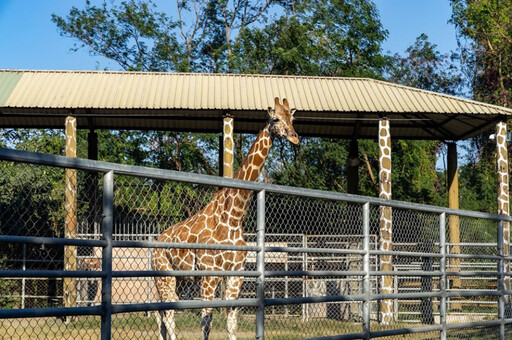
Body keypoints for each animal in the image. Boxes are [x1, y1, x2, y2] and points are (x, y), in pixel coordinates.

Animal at [150, 97, 298, 338]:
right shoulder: (209, 274)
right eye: (275, 118)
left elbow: (231, 321)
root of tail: (156, 242)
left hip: (180, 279)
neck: (234, 216)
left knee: (162, 313)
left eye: (292, 118)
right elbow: (206, 321)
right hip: (164, 274)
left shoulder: (235, 274)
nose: (295, 137)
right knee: (168, 314)